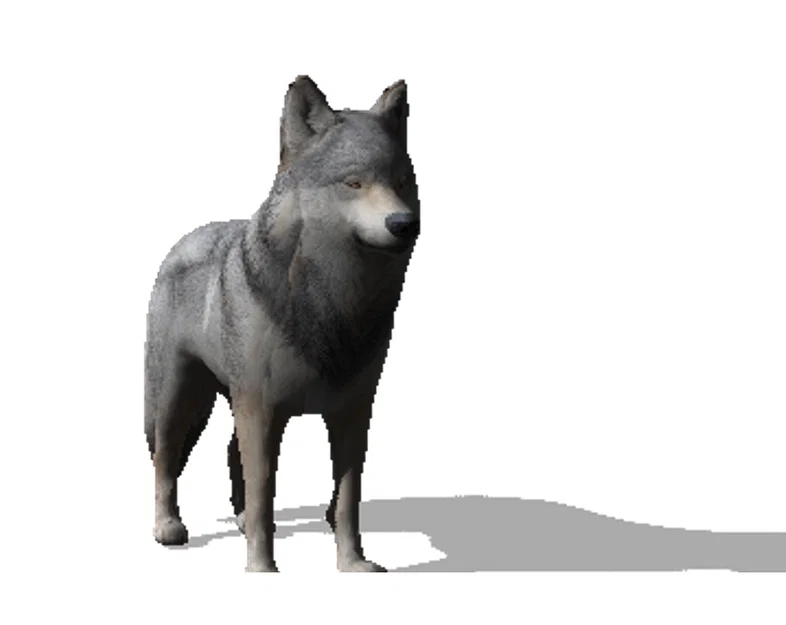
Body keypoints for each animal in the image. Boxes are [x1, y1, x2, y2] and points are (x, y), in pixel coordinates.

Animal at [144, 75, 420, 572]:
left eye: (401, 182)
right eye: (354, 182)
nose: (404, 223)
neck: (329, 307)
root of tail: (186, 239)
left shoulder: (353, 413)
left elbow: (346, 501)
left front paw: (353, 565)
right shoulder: (261, 408)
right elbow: (264, 496)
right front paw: (262, 569)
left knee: (228, 454)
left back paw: (235, 520)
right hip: (178, 395)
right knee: (165, 458)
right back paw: (168, 528)